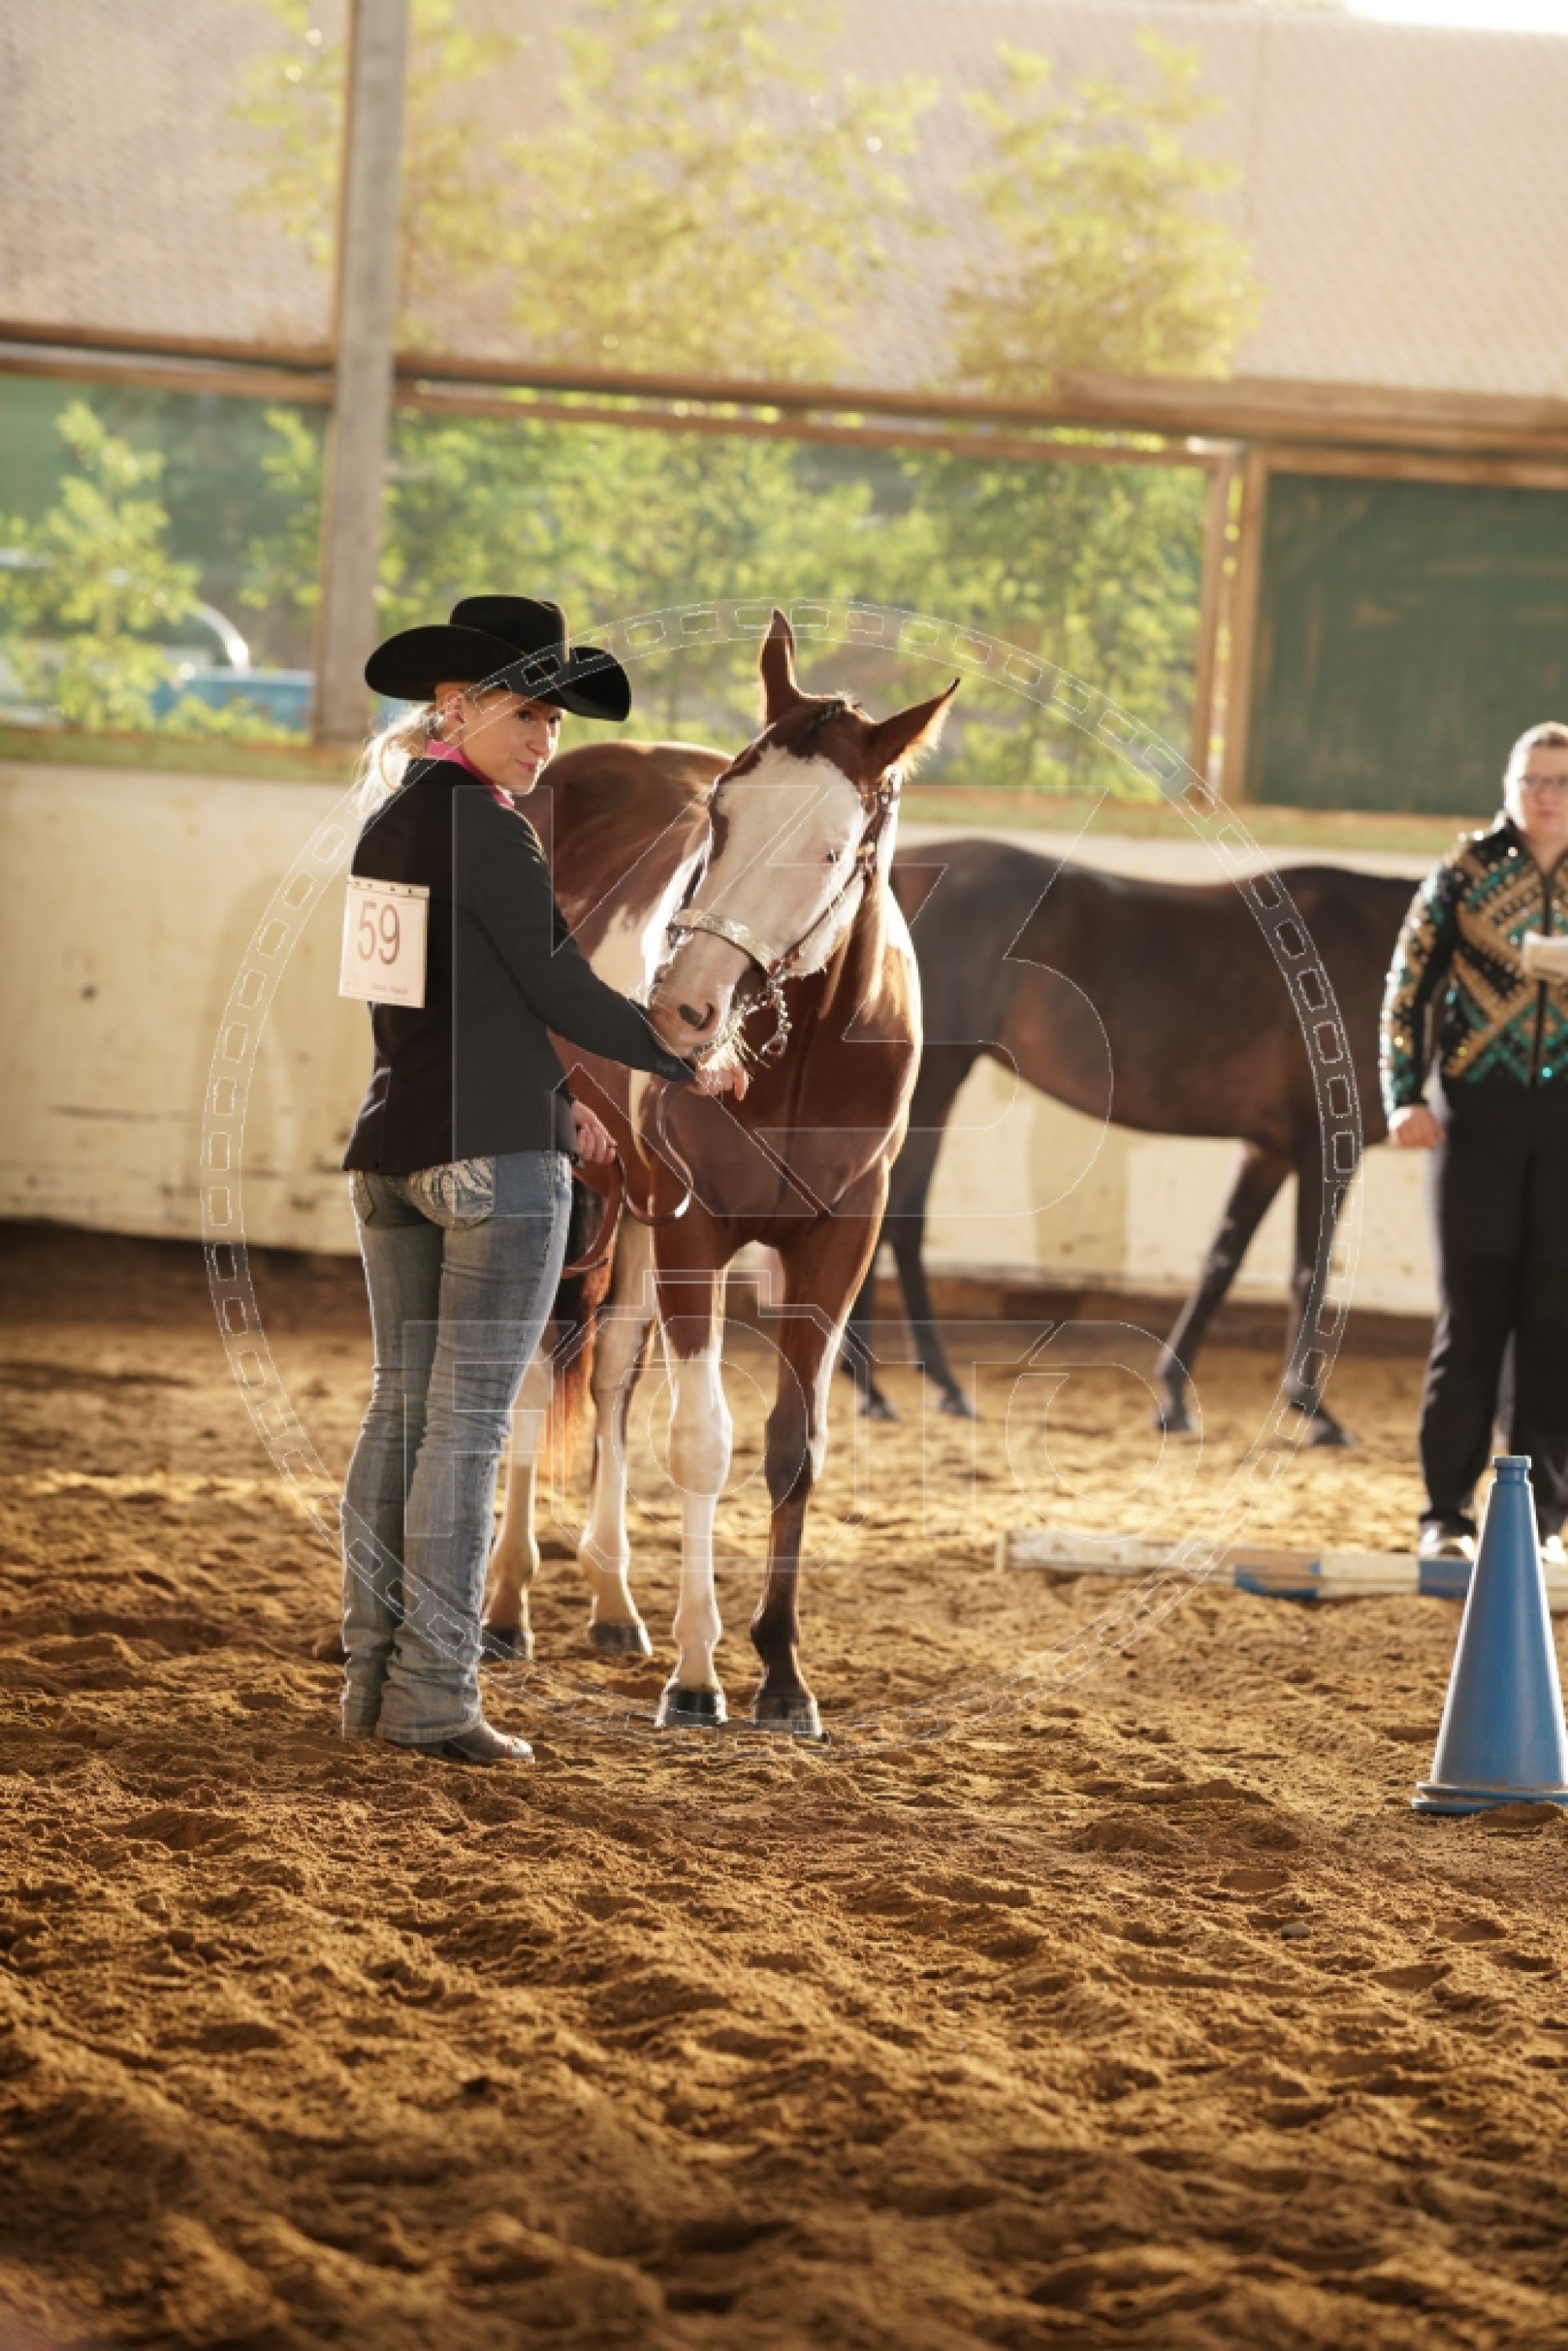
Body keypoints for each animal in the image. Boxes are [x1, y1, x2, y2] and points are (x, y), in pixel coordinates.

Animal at [483, 612, 957, 1737]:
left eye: (832, 846)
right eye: (721, 814)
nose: (683, 1008)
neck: (803, 1050)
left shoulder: (836, 1241)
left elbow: (795, 1446)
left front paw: (782, 1674)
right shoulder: (696, 1228)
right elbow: (702, 1440)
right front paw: (698, 1676)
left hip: (636, 1209)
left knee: (612, 1367)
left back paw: (612, 1600)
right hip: (588, 1184)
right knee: (538, 1368)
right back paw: (508, 1602)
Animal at [843, 837, 1414, 1445]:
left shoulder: (1270, 1150)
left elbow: (1222, 1261)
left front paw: (1174, 1397)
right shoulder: (1324, 1146)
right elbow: (1312, 1272)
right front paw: (1315, 1411)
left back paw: (921, 1383)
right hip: (934, 1082)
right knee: (892, 1220)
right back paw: (880, 1388)